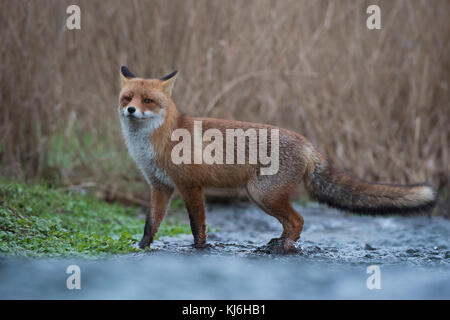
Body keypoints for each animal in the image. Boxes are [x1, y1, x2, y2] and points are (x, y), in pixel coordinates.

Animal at [118, 66, 434, 254]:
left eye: (148, 101)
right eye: (127, 98)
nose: (131, 110)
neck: (156, 141)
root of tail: (306, 141)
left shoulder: (190, 186)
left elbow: (198, 225)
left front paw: (199, 249)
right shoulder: (160, 187)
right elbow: (150, 223)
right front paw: (141, 247)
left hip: (262, 194)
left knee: (298, 220)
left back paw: (284, 247)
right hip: (260, 196)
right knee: (291, 222)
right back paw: (279, 242)